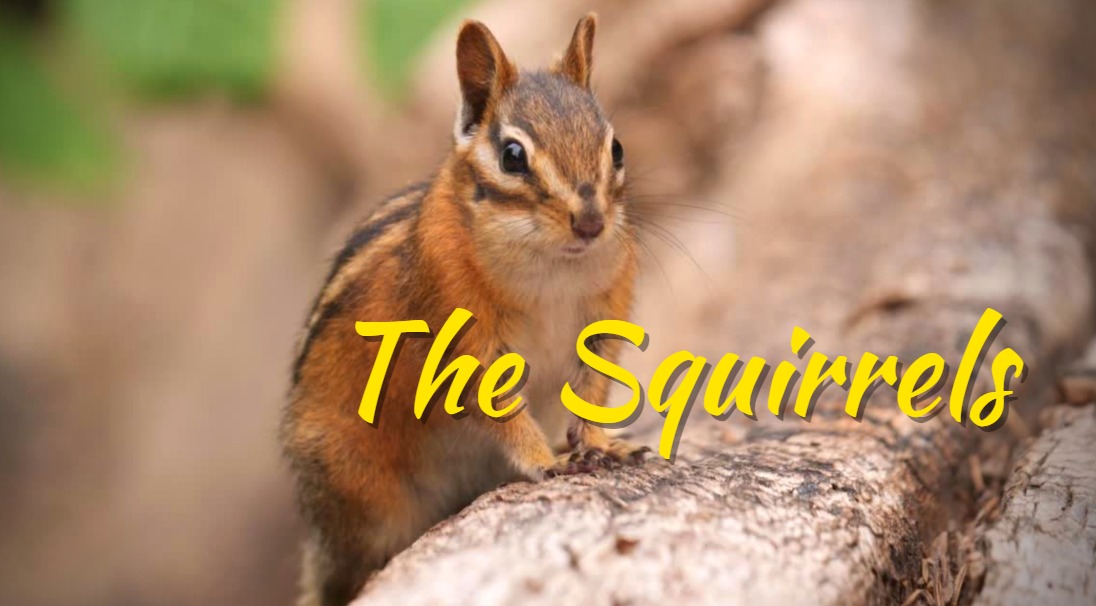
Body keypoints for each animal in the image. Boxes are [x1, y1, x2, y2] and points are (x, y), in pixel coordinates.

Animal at [280, 13, 649, 606]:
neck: (550, 268)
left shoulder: (603, 314)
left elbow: (593, 386)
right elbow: (495, 407)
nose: (591, 222)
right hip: (363, 492)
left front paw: (600, 444)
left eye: (615, 148)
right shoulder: (460, 333)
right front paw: (547, 461)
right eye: (512, 156)